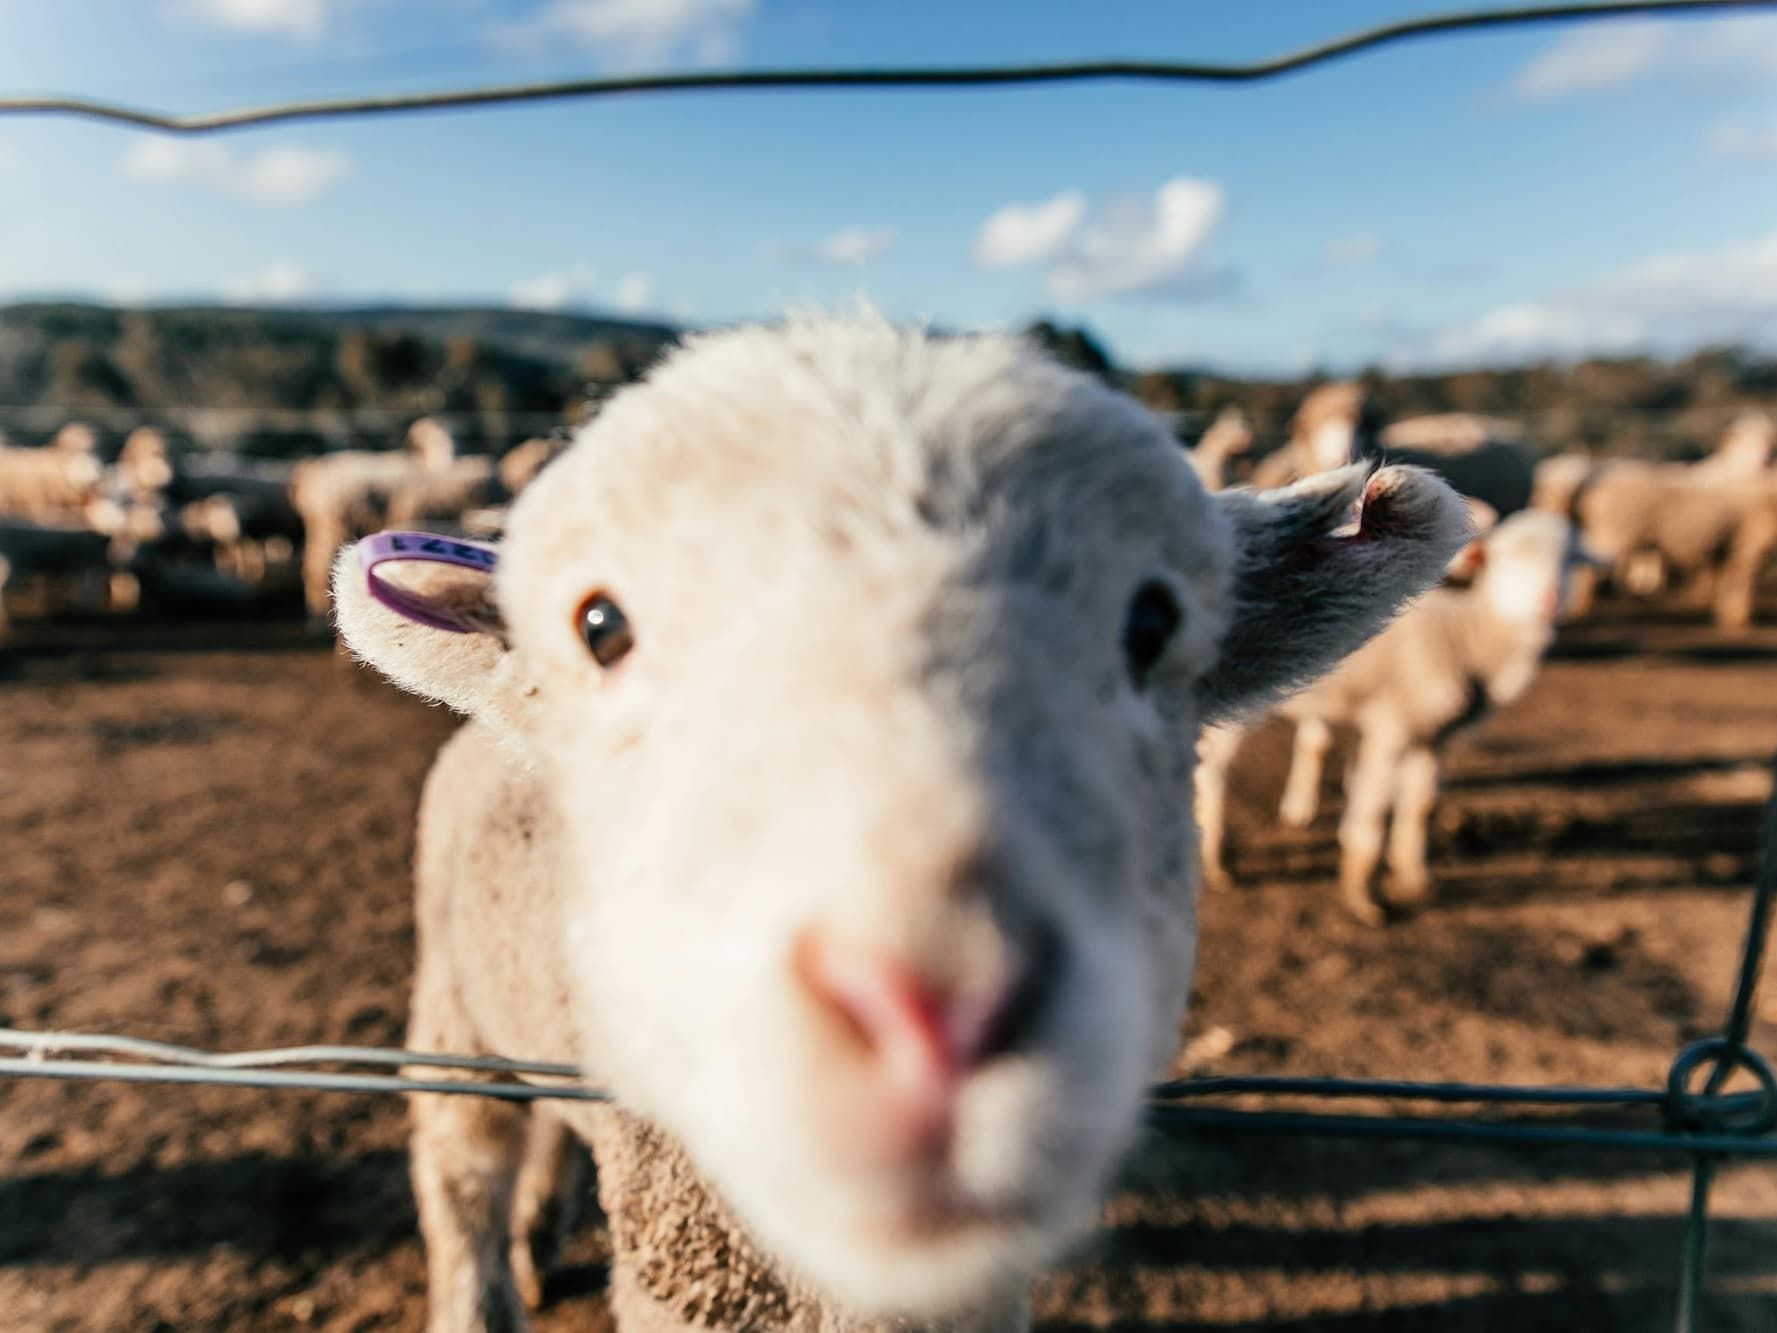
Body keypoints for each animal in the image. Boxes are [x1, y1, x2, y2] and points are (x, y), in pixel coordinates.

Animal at [1196, 509, 1585, 925]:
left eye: (1569, 560)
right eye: (1508, 557)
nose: (1549, 600)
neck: (1463, 634)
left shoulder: (1432, 734)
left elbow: (1422, 807)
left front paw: (1415, 878)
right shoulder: (1391, 721)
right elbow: (1375, 812)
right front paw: (1364, 898)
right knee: (1212, 770)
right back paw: (1215, 861)